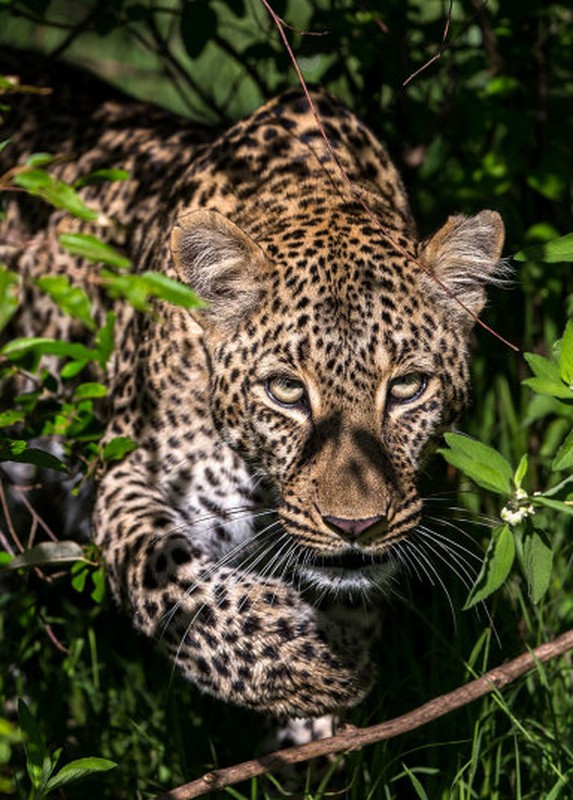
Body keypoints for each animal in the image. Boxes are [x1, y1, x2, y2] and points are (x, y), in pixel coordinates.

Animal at [0, 54, 502, 720]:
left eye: (408, 388)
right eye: (286, 390)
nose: (355, 528)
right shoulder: (126, 473)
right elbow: (172, 584)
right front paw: (313, 665)